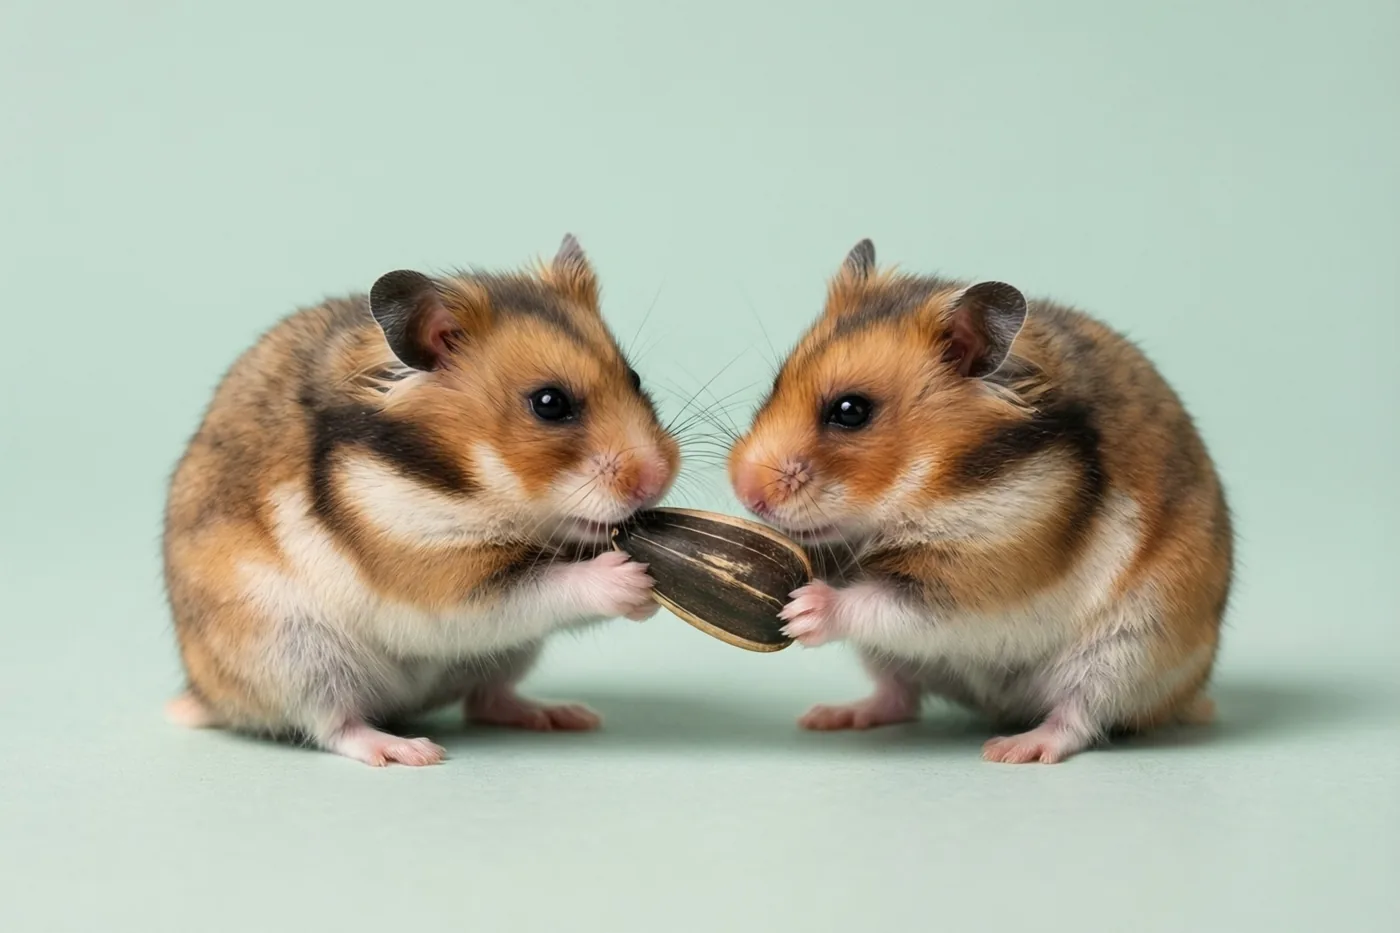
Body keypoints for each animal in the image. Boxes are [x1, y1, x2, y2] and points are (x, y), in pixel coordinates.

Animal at [163, 235, 680, 766]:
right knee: (334, 725)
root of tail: (209, 696)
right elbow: (538, 589)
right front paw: (632, 579)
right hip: (298, 655)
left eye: (635, 378)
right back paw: (409, 751)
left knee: (487, 699)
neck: (469, 485)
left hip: (508, 655)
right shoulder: (436, 578)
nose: (659, 478)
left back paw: (565, 715)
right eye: (549, 403)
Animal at [729, 240, 1232, 764]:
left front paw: (800, 610)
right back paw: (830, 716)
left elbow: (885, 603)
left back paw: (1012, 749)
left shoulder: (974, 577)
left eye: (850, 411)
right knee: (898, 696)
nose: (744, 490)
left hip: (1125, 654)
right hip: (888, 658)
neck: (934, 487)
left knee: (1079, 718)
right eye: (776, 384)